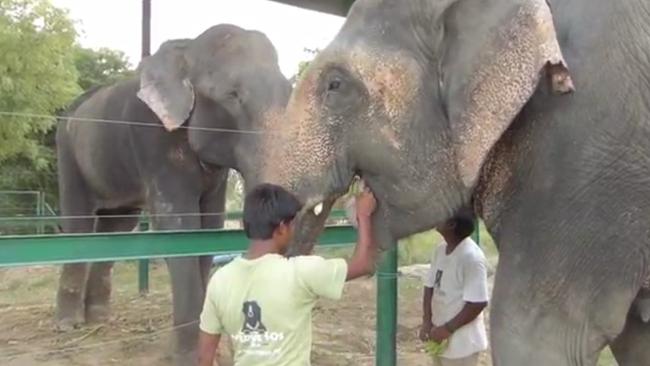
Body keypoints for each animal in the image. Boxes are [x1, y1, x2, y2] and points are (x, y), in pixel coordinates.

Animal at [55, 23, 288, 364]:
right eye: (232, 96)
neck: (187, 49)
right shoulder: (153, 140)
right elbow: (179, 227)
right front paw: (189, 357)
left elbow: (209, 228)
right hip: (68, 153)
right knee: (79, 223)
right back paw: (68, 325)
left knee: (117, 226)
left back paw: (99, 319)